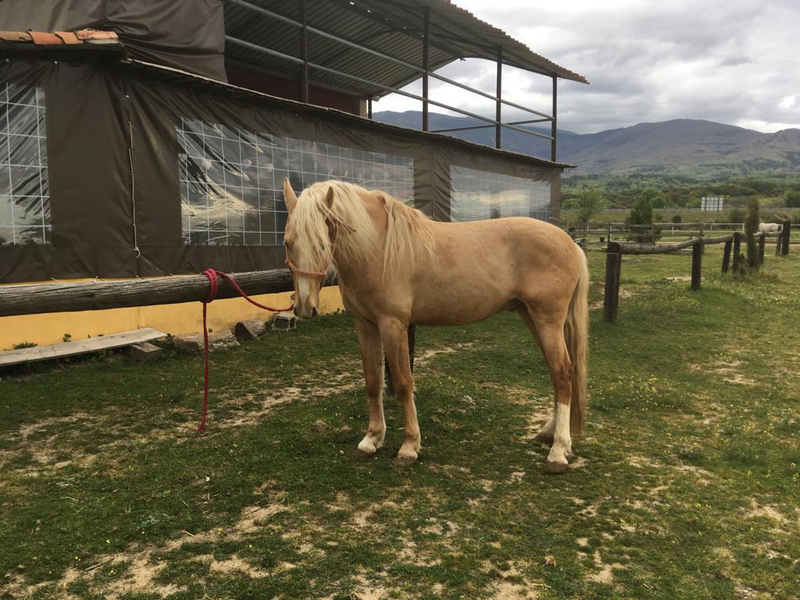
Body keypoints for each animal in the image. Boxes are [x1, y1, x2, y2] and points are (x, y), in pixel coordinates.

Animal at [282, 179, 589, 474]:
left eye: (322, 243)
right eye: (287, 242)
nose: (304, 306)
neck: (378, 248)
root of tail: (571, 244)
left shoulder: (393, 325)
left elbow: (403, 383)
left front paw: (408, 447)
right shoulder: (365, 325)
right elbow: (372, 382)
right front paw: (371, 440)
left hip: (547, 319)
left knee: (562, 373)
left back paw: (558, 452)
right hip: (532, 317)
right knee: (561, 373)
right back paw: (549, 435)